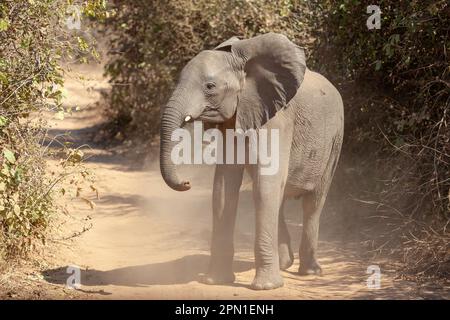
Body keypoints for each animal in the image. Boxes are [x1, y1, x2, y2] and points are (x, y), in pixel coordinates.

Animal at [160, 33, 342, 290]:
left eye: (210, 87)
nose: (187, 183)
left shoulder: (277, 120)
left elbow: (264, 186)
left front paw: (266, 287)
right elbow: (223, 188)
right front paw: (215, 281)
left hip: (334, 143)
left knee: (312, 203)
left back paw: (309, 272)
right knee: (281, 198)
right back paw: (285, 264)